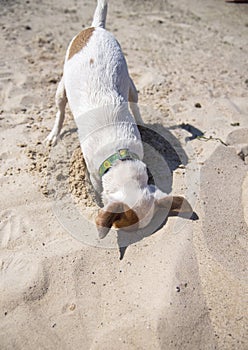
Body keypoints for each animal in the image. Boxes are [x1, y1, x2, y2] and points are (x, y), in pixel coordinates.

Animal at [47, 0, 194, 238]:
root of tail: (95, 28)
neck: (119, 154)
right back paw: (53, 135)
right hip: (62, 88)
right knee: (60, 110)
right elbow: (98, 189)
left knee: (135, 104)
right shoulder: (93, 174)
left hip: (129, 84)